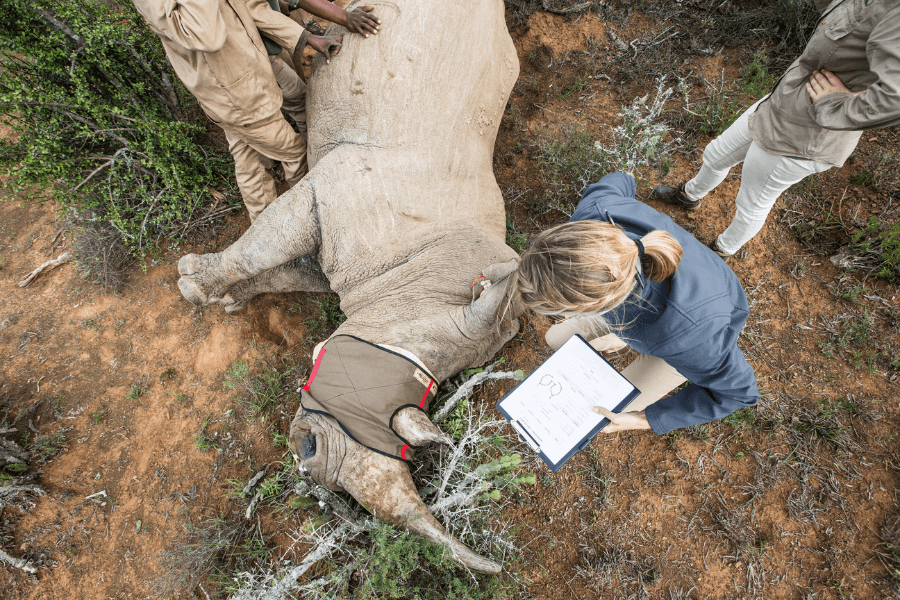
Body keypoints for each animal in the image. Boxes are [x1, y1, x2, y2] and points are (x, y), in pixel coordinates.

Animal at [175, 0, 521, 574]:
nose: (311, 457)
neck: (410, 288)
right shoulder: (335, 191)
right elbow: (262, 245)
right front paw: (194, 286)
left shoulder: (348, 256)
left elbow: (286, 268)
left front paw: (226, 297)